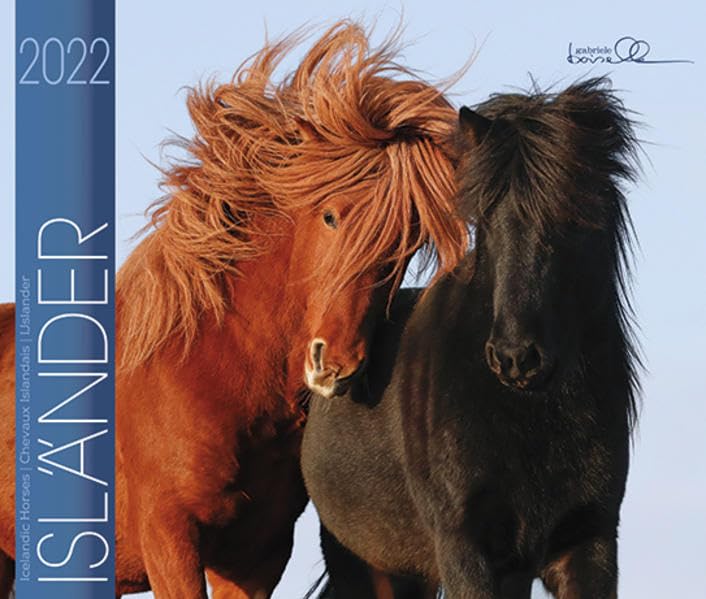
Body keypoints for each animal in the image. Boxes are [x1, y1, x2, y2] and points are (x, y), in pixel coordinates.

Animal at [0, 21, 472, 598]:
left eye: (403, 247)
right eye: (330, 216)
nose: (336, 366)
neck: (209, 371)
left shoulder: (256, 556)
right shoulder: (169, 539)